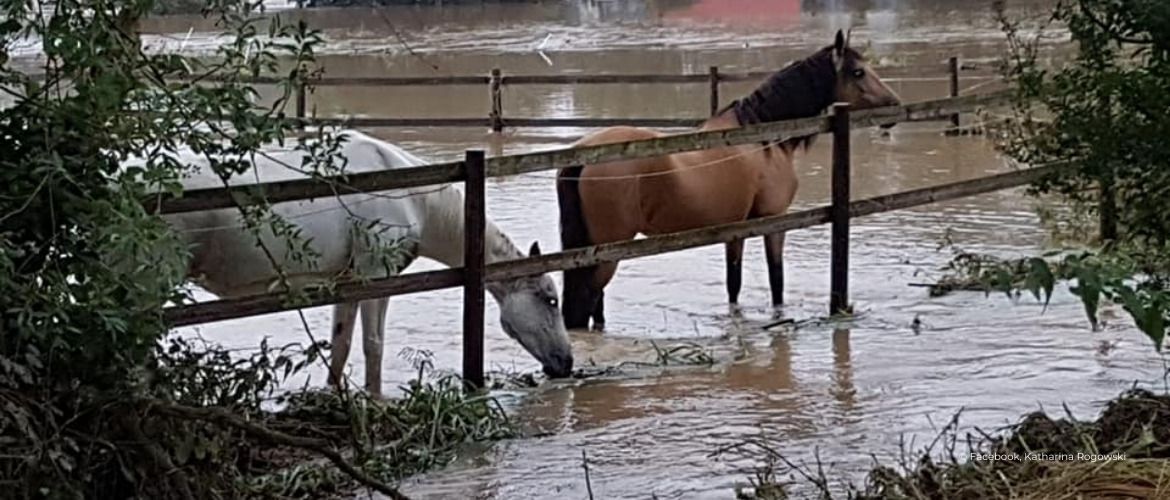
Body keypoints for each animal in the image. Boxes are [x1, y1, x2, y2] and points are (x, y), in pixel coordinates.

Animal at [155, 131, 575, 398]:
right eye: (551, 299)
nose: (566, 362)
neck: (413, 197)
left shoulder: (348, 280)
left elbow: (341, 342)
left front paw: (331, 395)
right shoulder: (377, 275)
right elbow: (373, 343)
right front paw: (375, 400)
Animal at [556, 29, 903, 330]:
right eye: (858, 72)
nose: (895, 106)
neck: (762, 139)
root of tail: (584, 155)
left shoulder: (735, 229)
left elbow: (733, 284)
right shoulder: (774, 221)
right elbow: (777, 280)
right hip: (606, 252)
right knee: (587, 302)